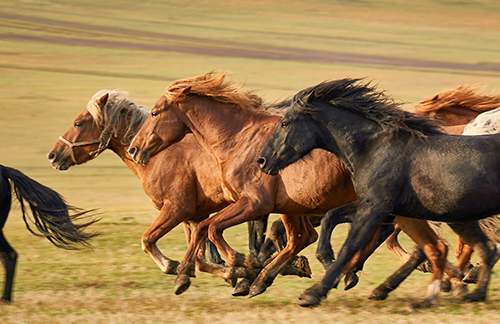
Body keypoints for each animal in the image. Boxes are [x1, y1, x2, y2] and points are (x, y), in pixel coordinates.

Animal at [47, 89, 278, 288]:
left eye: (78, 123)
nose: (53, 156)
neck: (157, 156)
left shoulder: (176, 209)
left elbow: (148, 240)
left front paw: (173, 266)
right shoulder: (194, 216)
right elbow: (199, 258)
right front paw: (233, 272)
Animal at [129, 71, 464, 304]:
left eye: (155, 112)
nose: (134, 149)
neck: (239, 140)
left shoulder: (255, 203)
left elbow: (211, 229)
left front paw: (239, 265)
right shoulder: (269, 206)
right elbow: (206, 229)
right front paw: (191, 276)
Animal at [258, 78, 500, 306]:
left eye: (285, 123)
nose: (262, 161)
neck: (372, 148)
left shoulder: (375, 208)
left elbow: (350, 245)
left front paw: (315, 291)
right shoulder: (377, 207)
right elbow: (330, 217)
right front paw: (328, 263)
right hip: (459, 218)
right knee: (485, 249)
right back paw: (466, 293)